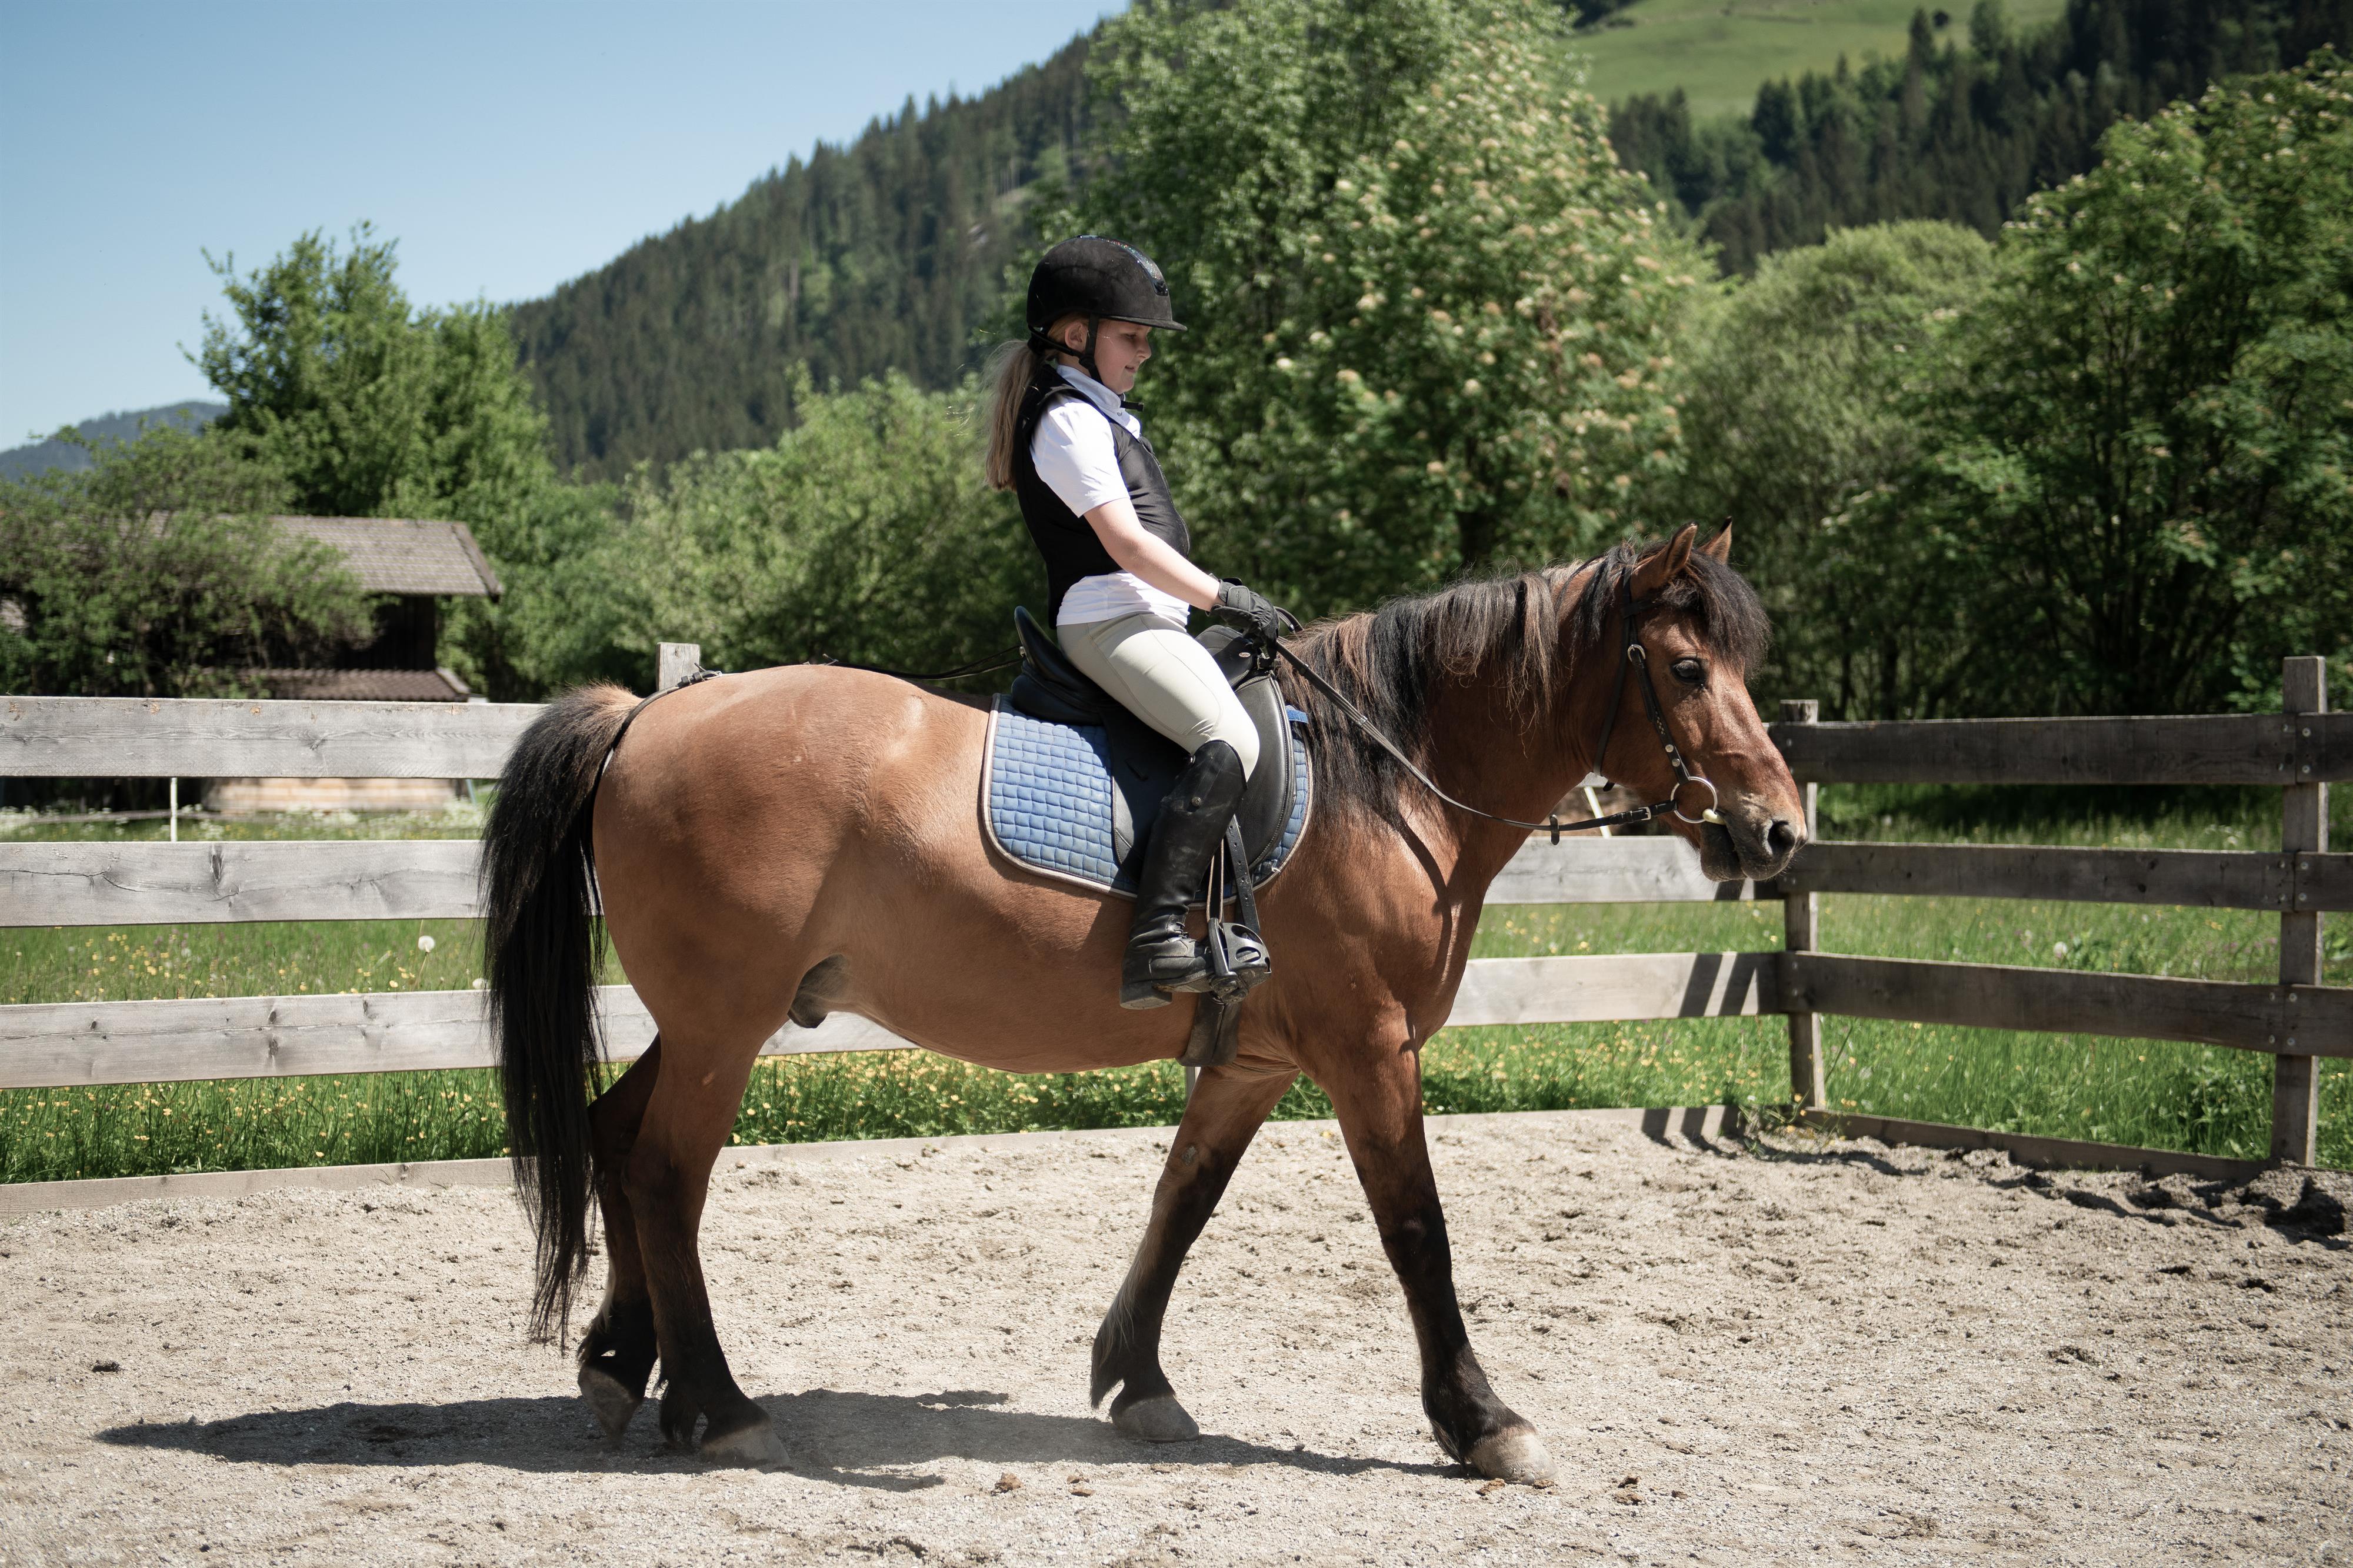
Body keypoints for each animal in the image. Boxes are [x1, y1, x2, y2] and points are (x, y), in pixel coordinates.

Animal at [482, 522, 1806, 1484]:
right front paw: (1483, 1422)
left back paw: (621, 1366)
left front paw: (1138, 1382)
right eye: (1686, 669)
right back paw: (716, 1405)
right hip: (726, 1025)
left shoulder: (1253, 1060)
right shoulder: (1368, 1052)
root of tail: (649, 712)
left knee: (616, 1138)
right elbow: (1416, 1230)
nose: (1780, 832)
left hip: (707, 1022)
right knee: (666, 1172)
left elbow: (1183, 1203)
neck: (1384, 782)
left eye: (1745, 669)